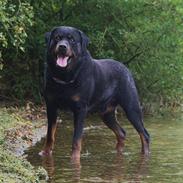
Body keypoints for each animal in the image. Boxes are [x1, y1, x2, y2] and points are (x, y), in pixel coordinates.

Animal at [39, 25, 149, 160]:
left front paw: (74, 159)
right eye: (57, 38)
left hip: (131, 107)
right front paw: (45, 153)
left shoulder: (80, 109)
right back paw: (118, 152)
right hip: (106, 113)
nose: (62, 47)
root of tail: (126, 68)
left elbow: (76, 138)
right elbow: (50, 134)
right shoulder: (51, 106)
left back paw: (145, 155)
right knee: (121, 133)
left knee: (144, 134)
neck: (65, 77)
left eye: (72, 40)